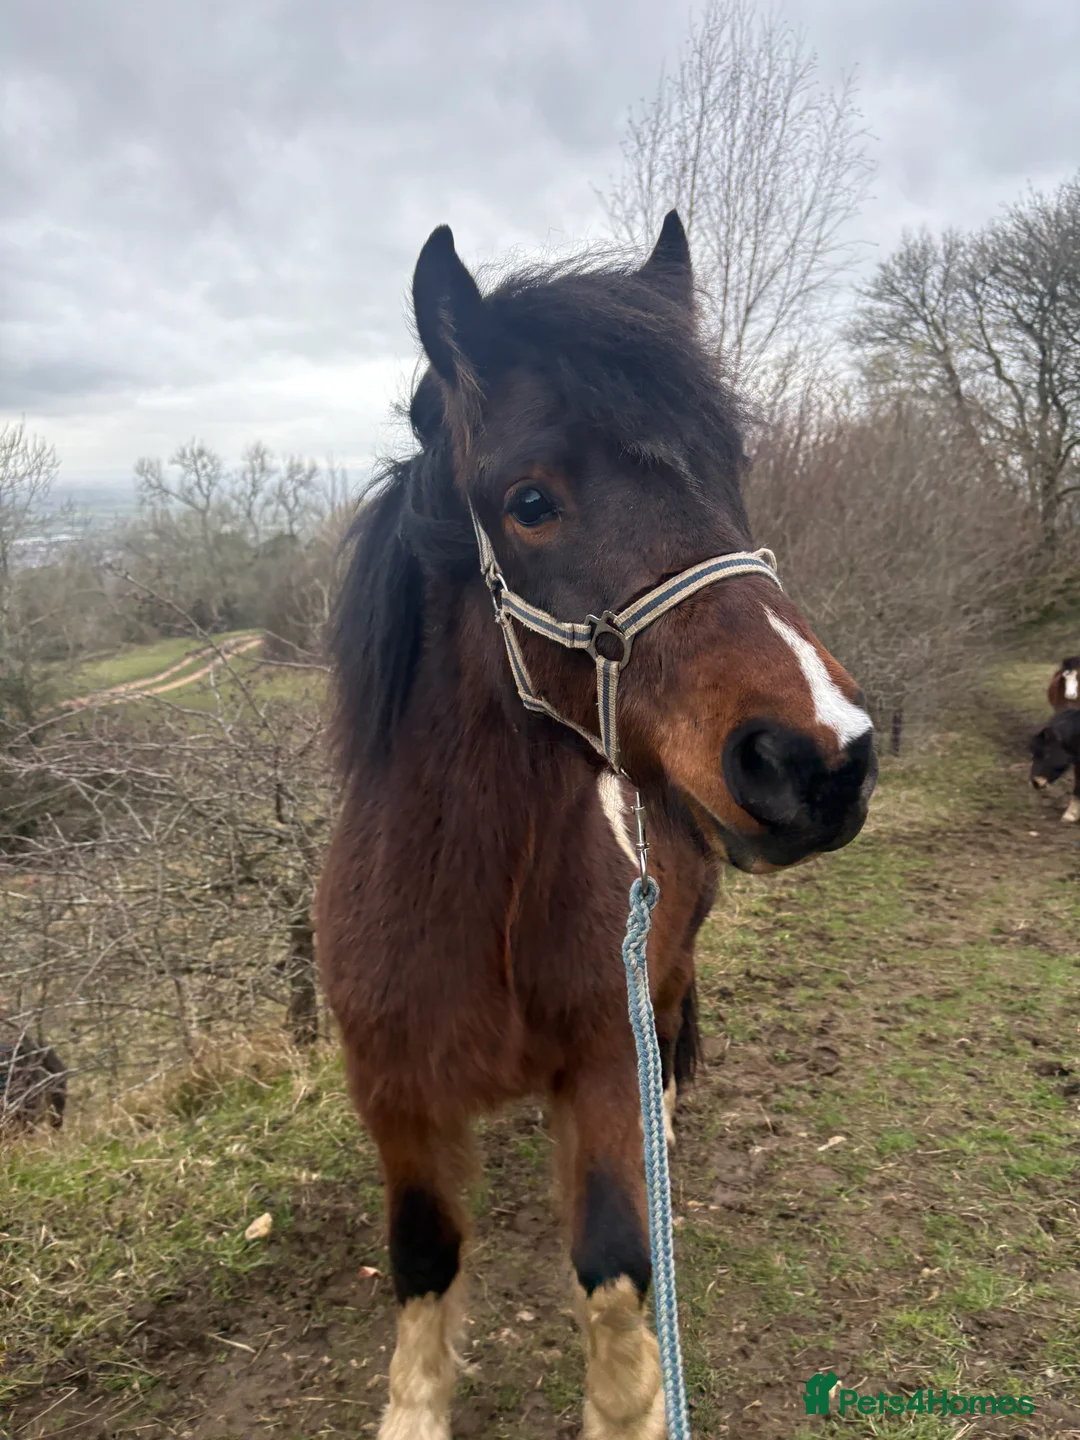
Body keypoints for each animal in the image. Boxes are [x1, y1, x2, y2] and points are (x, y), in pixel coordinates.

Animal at [317, 212, 877, 1440]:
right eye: (530, 501)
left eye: (730, 470)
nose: (824, 757)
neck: (479, 902)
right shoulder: (395, 1097)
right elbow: (423, 1258)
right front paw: (415, 1407)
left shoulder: (604, 1067)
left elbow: (617, 1268)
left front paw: (635, 1400)